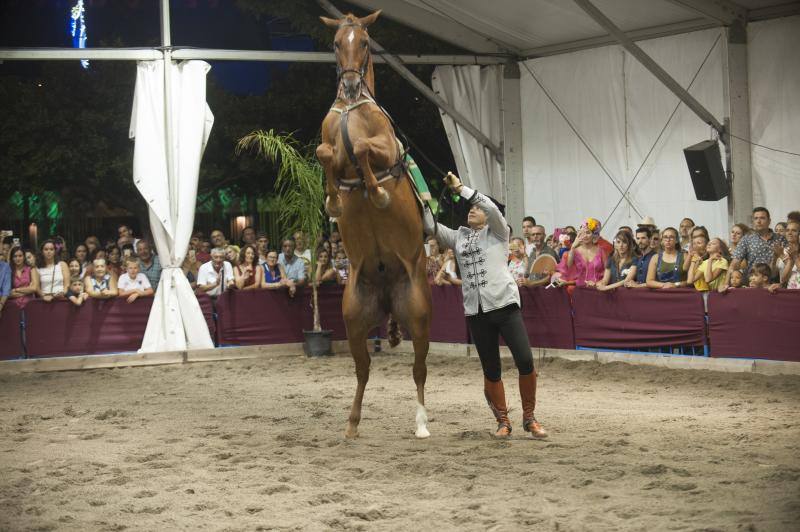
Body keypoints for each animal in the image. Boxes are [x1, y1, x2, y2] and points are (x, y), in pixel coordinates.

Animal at [318, 10, 432, 438]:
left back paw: (421, 423)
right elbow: (326, 153)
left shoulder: (383, 147)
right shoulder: (327, 146)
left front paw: (378, 192)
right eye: (336, 42)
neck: (353, 109)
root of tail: (385, 293)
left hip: (418, 313)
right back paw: (351, 424)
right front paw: (335, 198)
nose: (350, 85)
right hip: (354, 318)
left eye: (364, 42)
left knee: (419, 370)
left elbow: (365, 148)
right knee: (363, 370)